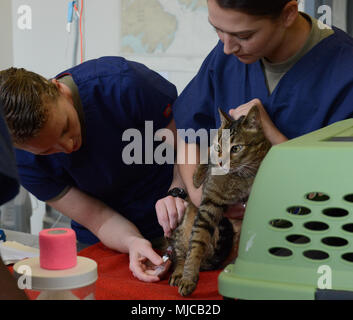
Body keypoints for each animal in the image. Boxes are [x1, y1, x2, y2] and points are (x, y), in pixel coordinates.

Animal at [168, 106, 270, 296]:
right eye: (218, 147)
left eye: (236, 148)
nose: (222, 162)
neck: (238, 178)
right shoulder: (209, 203)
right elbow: (196, 244)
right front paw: (188, 278)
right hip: (182, 229)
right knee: (181, 254)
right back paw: (179, 272)